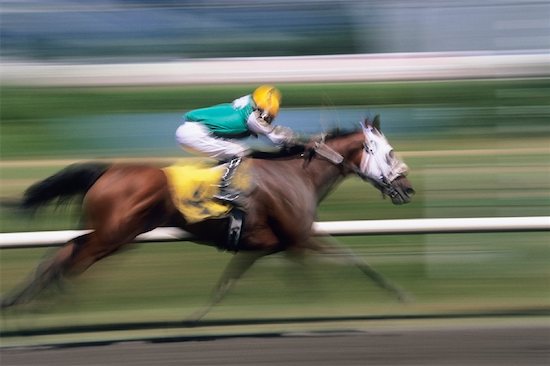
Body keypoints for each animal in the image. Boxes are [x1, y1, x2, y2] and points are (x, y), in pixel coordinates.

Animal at [1, 116, 414, 318]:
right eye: (389, 152)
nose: (408, 188)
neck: (297, 174)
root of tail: (108, 171)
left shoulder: (261, 247)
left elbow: (225, 284)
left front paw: (197, 316)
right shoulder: (300, 238)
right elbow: (350, 261)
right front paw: (393, 295)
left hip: (111, 233)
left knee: (63, 251)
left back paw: (21, 301)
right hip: (114, 235)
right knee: (70, 261)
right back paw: (50, 302)